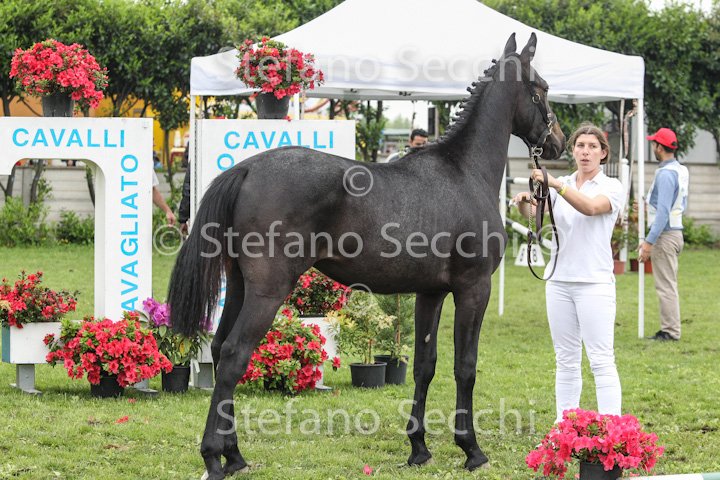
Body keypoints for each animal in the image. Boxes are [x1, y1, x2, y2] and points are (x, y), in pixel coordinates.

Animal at [168, 32, 565, 479]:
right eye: (542, 88)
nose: (558, 141)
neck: (464, 172)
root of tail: (248, 169)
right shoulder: (473, 289)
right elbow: (466, 366)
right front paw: (471, 449)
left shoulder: (430, 293)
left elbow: (425, 364)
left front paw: (418, 447)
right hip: (268, 291)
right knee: (235, 355)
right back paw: (213, 458)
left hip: (238, 285)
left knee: (220, 349)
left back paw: (233, 455)